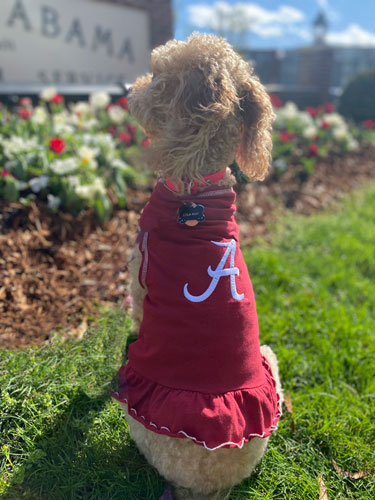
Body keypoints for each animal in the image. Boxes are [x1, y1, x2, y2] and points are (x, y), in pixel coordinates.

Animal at [113, 33, 284, 498]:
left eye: (156, 76)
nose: (125, 88)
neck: (196, 188)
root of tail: (208, 487)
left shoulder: (139, 271)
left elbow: (137, 313)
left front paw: (132, 334)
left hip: (138, 422)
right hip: (271, 359)